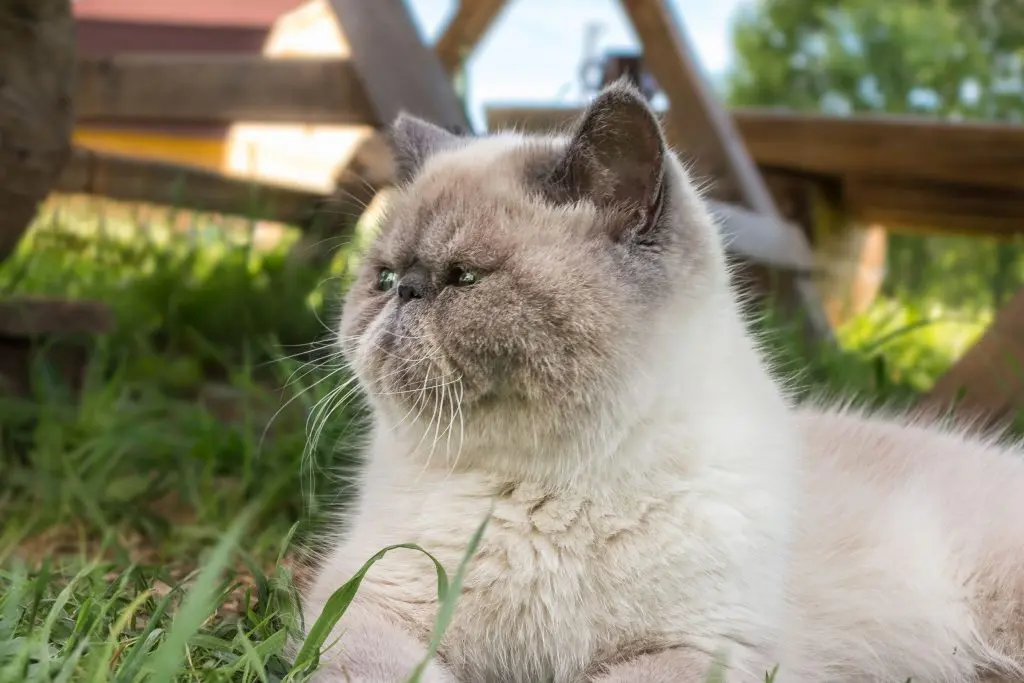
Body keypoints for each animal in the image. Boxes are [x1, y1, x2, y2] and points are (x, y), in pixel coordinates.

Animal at [299, 81, 1024, 683]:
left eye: (465, 278)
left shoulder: (699, 649)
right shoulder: (367, 603)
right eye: (383, 279)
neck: (539, 481)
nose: (407, 292)